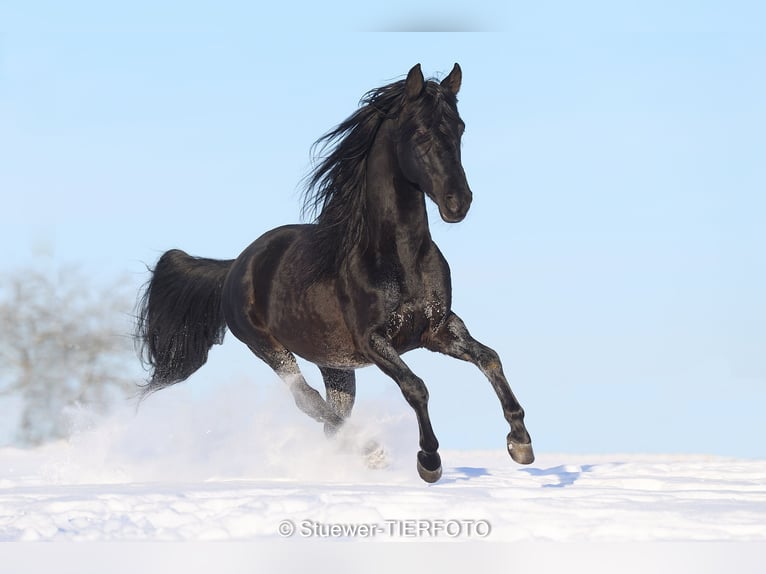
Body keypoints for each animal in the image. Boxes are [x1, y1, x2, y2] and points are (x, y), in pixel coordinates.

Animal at [138, 65, 536, 484]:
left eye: (459, 127)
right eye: (420, 132)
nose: (458, 203)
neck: (399, 258)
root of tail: (236, 265)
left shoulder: (439, 329)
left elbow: (490, 358)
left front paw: (520, 442)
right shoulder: (373, 340)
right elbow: (416, 387)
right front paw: (429, 460)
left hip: (335, 364)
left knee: (330, 415)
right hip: (269, 347)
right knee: (308, 401)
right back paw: (372, 451)